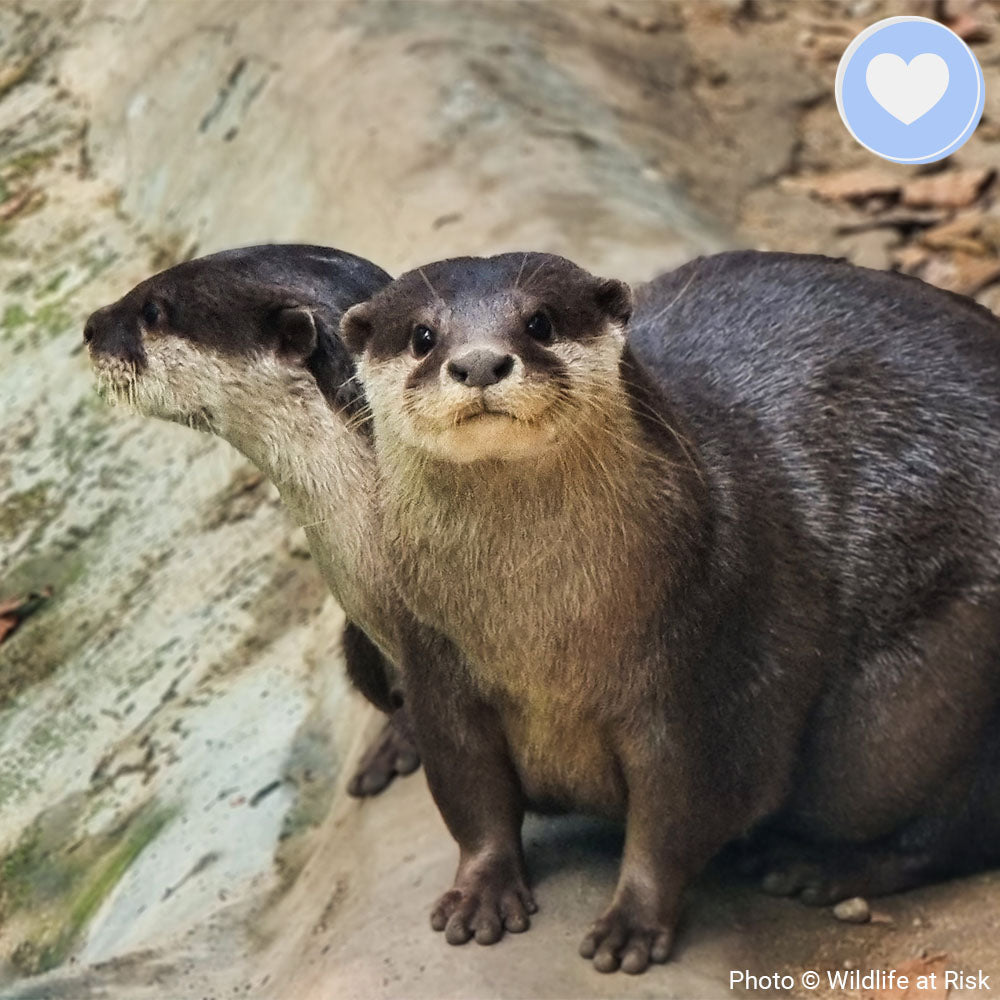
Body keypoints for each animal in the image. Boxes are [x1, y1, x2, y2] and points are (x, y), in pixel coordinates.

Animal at [341, 250, 1000, 974]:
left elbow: (678, 814)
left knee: (950, 830)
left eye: (540, 322)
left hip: (924, 691)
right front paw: (481, 889)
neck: (542, 638)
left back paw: (821, 868)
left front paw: (633, 921)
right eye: (423, 336)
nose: (481, 362)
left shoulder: (706, 663)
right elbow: (470, 796)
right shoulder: (440, 670)